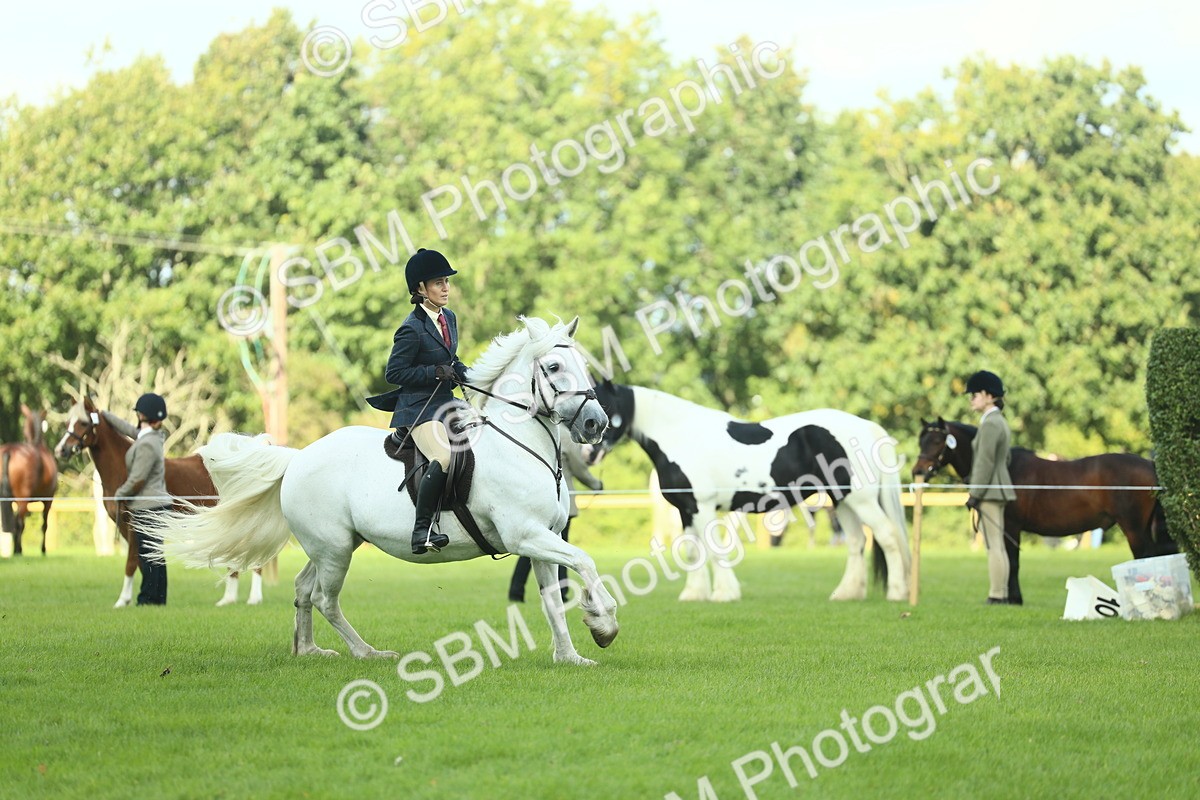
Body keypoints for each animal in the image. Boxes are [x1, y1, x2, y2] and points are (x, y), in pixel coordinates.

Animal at [0, 405, 60, 555]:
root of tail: (8, 450)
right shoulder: (48, 500)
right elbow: (44, 525)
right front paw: (43, 549)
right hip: (23, 499)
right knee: (18, 522)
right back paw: (18, 551)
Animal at [52, 396, 264, 607]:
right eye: (67, 422)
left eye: (83, 423)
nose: (60, 450)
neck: (123, 469)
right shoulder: (124, 526)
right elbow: (140, 561)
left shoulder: (134, 524)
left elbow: (130, 563)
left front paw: (123, 600)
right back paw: (228, 599)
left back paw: (253, 598)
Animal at [151, 316, 618, 663]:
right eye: (554, 368)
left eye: (583, 364)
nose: (596, 423)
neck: (518, 445)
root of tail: (298, 458)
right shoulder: (526, 536)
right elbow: (586, 561)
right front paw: (604, 623)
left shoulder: (542, 539)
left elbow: (553, 598)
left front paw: (570, 655)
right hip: (335, 550)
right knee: (324, 598)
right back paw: (368, 653)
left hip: (332, 546)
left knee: (304, 589)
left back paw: (309, 651)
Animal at [585, 381, 912, 602]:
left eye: (607, 408)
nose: (588, 454)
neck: (681, 435)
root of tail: (867, 427)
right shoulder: (686, 510)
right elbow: (693, 551)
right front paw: (694, 594)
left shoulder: (703, 507)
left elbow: (714, 549)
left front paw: (724, 593)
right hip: (842, 500)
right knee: (856, 542)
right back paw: (847, 593)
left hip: (861, 499)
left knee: (887, 536)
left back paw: (896, 592)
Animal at [913, 417, 1176, 604]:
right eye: (920, 441)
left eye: (936, 441)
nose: (918, 470)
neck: (1005, 468)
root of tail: (1150, 464)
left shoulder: (1011, 526)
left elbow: (1012, 561)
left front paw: (1012, 599)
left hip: (1133, 527)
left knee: (1144, 558)